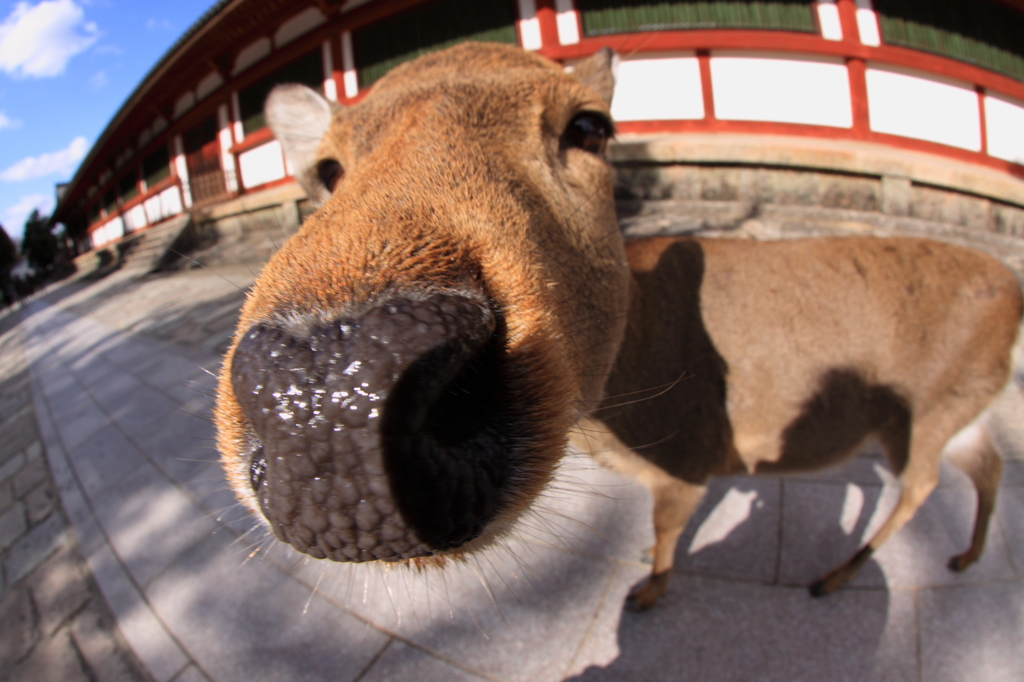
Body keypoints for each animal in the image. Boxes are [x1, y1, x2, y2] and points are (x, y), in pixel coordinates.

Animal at [214, 42, 1023, 611]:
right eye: (325, 168)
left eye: (590, 125)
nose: (324, 393)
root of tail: (1014, 289)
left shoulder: (694, 456)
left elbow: (665, 532)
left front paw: (646, 593)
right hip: (962, 406)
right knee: (986, 465)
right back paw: (961, 557)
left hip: (930, 406)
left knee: (924, 484)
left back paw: (835, 575)